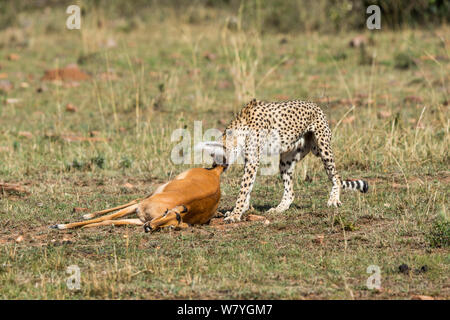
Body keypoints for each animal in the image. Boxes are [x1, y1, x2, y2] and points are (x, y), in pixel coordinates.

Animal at [202, 98, 368, 222]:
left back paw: (333, 200)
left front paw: (236, 214)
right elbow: (247, 188)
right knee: (290, 191)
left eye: (214, 155)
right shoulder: (250, 160)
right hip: (286, 161)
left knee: (336, 176)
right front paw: (239, 211)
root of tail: (314, 104)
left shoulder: (252, 161)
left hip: (322, 148)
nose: (214, 166)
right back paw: (279, 209)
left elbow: (244, 189)